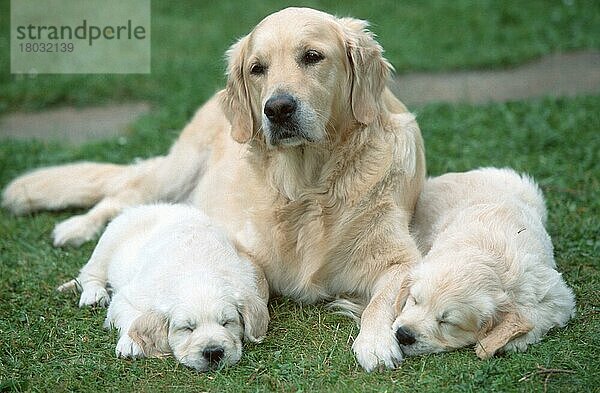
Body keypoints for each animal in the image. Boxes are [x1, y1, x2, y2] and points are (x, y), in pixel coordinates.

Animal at [58, 204, 270, 370]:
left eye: (227, 323)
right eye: (187, 328)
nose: (213, 353)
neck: (197, 270)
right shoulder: (128, 297)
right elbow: (131, 315)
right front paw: (131, 342)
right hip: (108, 242)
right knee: (90, 273)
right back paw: (93, 295)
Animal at [392, 168, 576, 358]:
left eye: (446, 321)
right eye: (414, 300)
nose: (403, 335)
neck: (486, 251)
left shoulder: (554, 294)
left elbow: (535, 314)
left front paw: (507, 341)